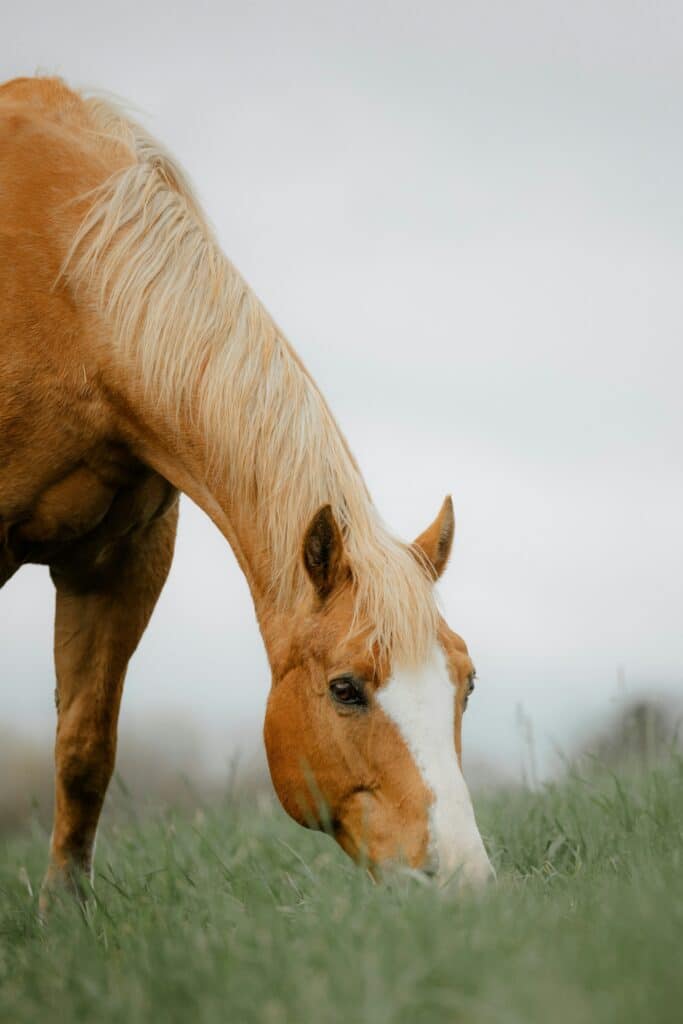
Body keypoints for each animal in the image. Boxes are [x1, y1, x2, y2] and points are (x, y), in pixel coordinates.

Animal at [0, 76, 494, 908]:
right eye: (345, 689)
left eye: (466, 681)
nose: (460, 880)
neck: (60, 286)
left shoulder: (120, 564)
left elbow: (85, 750)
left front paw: (64, 911)